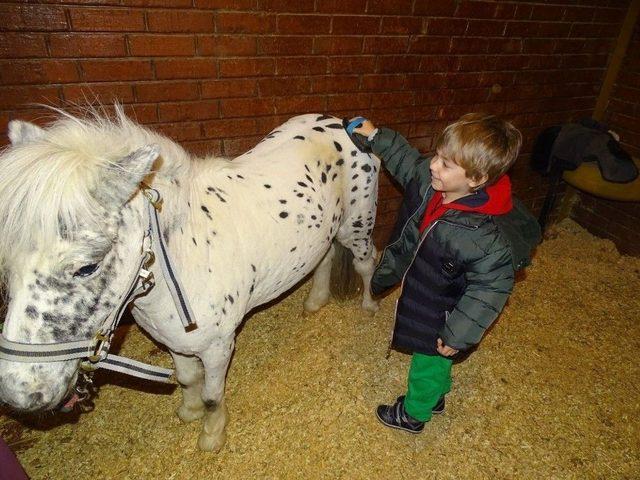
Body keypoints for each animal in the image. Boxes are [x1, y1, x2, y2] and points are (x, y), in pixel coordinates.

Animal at [0, 108, 380, 450]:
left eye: (87, 267)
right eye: (8, 263)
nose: (19, 391)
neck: (186, 257)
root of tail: (346, 123)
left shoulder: (218, 347)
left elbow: (213, 395)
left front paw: (212, 435)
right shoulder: (172, 340)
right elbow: (185, 379)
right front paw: (189, 411)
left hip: (356, 227)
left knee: (366, 263)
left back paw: (369, 307)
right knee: (324, 258)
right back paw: (315, 302)